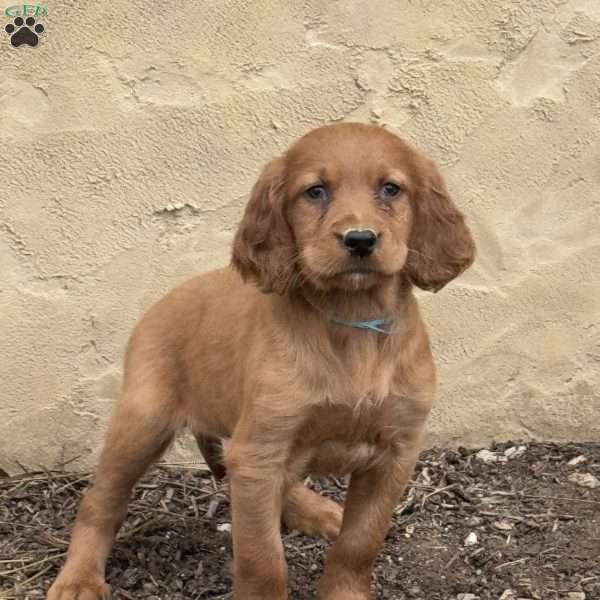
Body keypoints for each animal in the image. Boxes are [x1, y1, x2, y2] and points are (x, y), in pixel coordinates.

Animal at [48, 122, 474, 600]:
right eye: (315, 191)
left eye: (391, 188)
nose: (360, 239)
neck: (352, 320)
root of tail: (162, 301)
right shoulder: (261, 449)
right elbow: (262, 558)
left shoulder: (396, 452)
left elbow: (360, 542)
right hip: (144, 420)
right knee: (100, 500)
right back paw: (78, 579)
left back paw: (314, 509)